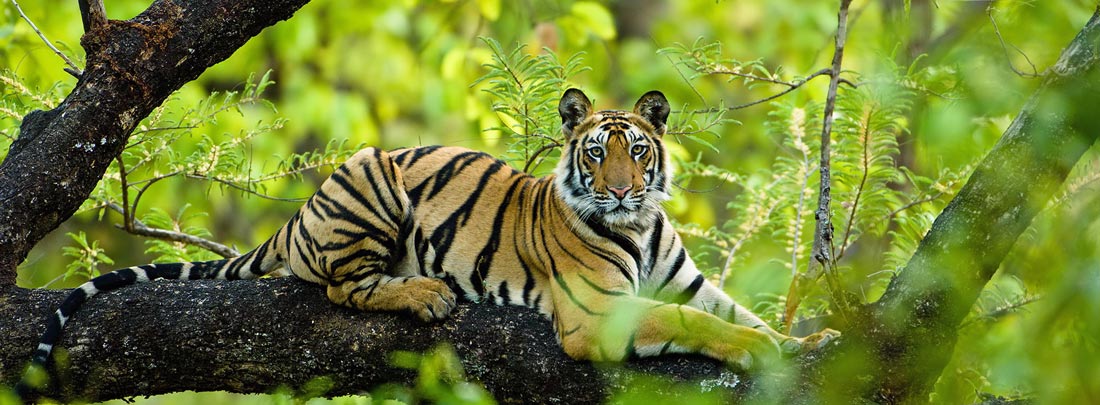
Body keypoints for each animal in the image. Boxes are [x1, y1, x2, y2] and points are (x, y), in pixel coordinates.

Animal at [18, 88, 839, 398]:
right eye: (596, 153)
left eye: (637, 151)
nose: (619, 191)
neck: (638, 229)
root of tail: (297, 214)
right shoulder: (600, 314)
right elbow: (697, 324)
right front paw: (762, 352)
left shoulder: (685, 280)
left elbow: (732, 313)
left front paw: (808, 340)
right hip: (373, 179)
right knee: (343, 286)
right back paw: (427, 293)